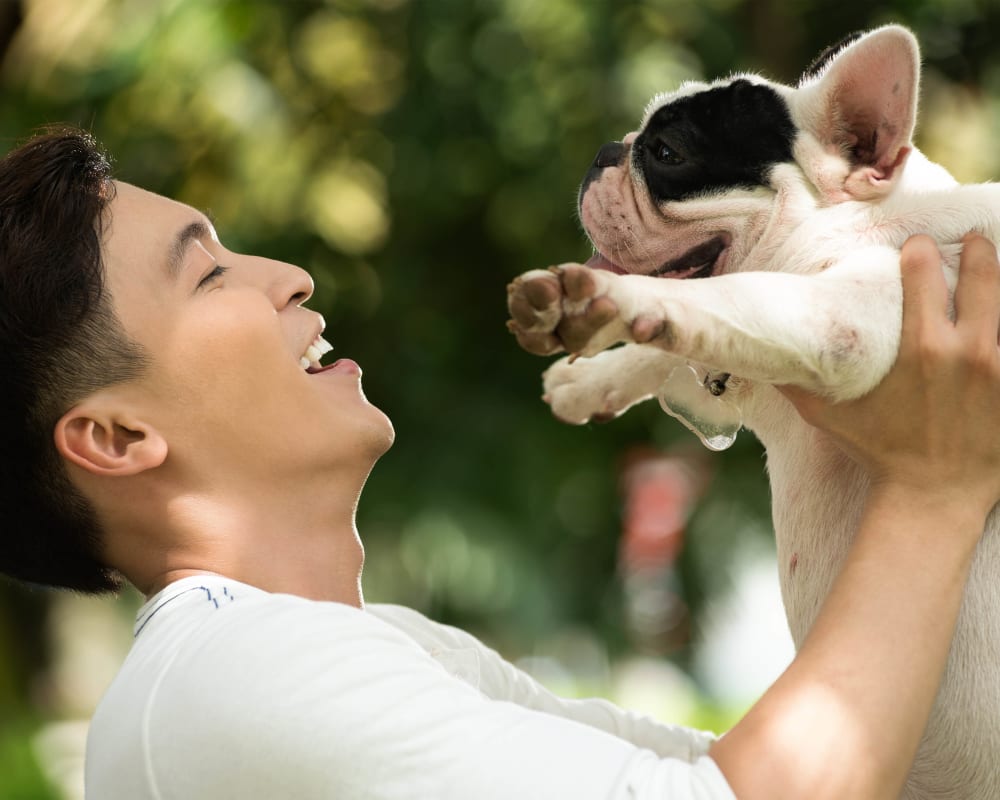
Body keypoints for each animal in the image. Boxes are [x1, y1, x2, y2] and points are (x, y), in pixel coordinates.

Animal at [508, 25, 1000, 800]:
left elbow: (711, 300)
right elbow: (681, 341)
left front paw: (603, 304)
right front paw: (587, 382)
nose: (605, 152)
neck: (860, 226)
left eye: (667, 153)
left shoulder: (842, 322)